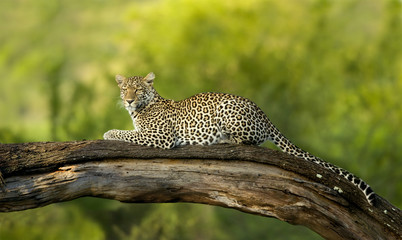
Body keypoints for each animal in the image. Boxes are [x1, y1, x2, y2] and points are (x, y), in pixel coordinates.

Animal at [103, 72, 376, 205]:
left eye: (138, 89)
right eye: (124, 88)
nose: (128, 100)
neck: (139, 109)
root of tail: (263, 113)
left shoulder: (160, 136)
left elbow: (124, 133)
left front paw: (107, 133)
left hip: (228, 110)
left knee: (249, 141)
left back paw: (223, 140)